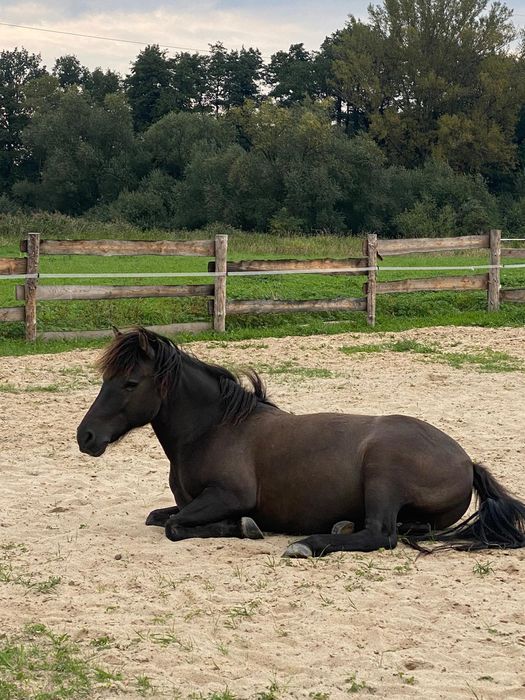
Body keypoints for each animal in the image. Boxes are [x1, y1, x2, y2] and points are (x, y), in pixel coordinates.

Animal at [77, 326, 524, 556]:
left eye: (130, 382)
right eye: (106, 378)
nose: (86, 436)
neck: (214, 428)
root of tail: (467, 462)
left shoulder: (228, 495)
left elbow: (174, 525)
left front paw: (245, 527)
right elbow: (159, 516)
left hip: (383, 472)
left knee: (381, 534)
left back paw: (307, 543)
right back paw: (340, 524)